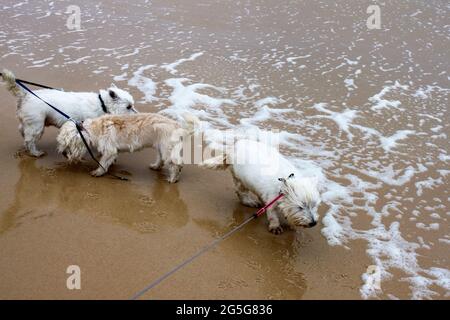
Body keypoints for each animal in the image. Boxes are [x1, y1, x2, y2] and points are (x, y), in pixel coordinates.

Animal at [1, 69, 137, 157]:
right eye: (128, 106)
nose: (137, 114)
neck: (102, 104)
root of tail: (25, 95)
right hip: (37, 125)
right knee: (30, 140)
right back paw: (36, 153)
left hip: (30, 122)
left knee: (22, 131)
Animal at [55, 112, 199, 182]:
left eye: (67, 145)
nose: (63, 154)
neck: (94, 129)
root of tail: (178, 126)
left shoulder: (109, 150)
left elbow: (103, 162)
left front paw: (98, 172)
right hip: (160, 147)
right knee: (161, 159)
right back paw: (155, 166)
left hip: (167, 149)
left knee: (176, 165)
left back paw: (173, 178)